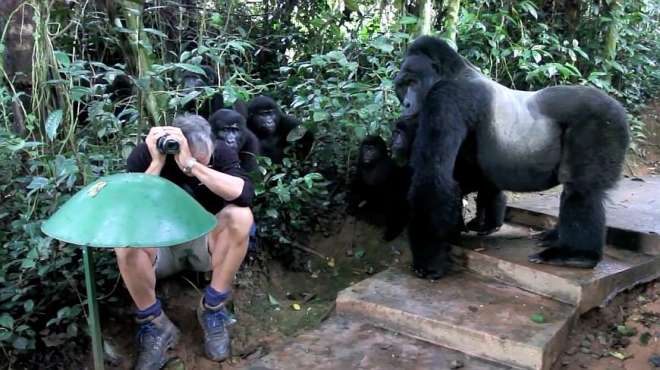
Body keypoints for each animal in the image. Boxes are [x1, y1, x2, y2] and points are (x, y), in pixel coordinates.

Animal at [394, 36, 632, 278]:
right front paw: (483, 222)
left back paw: (577, 255)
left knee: (581, 188)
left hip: (603, 122)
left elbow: (433, 178)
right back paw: (557, 237)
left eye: (413, 83)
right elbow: (475, 177)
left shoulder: (446, 98)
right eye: (402, 86)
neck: (452, 72)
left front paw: (429, 260)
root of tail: (619, 108)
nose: (406, 104)